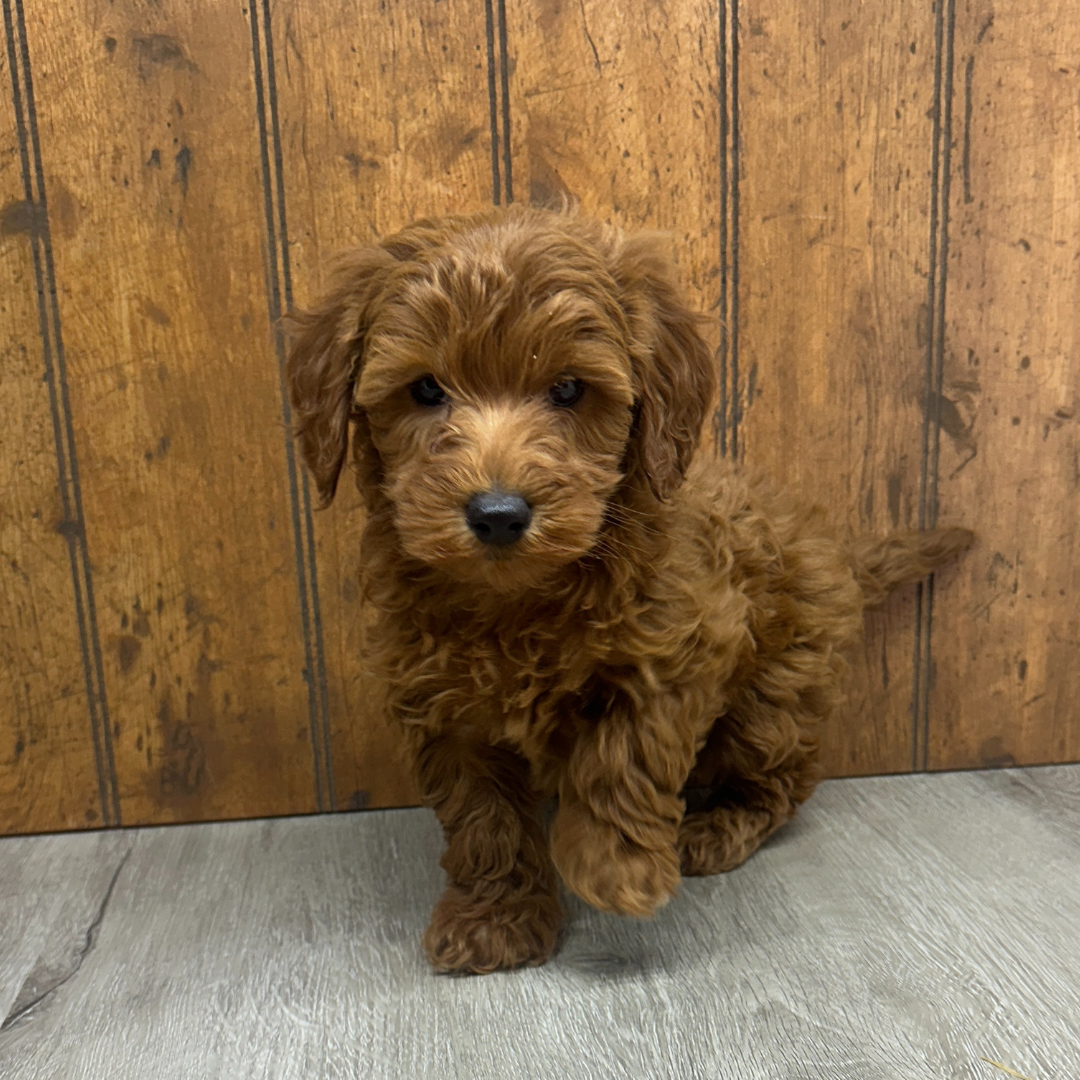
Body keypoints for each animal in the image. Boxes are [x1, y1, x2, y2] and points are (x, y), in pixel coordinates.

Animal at [285, 206, 972, 976]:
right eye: (426, 390)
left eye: (567, 389)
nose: (498, 513)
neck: (517, 601)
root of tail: (833, 549)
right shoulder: (441, 704)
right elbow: (483, 817)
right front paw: (495, 918)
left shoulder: (685, 647)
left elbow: (624, 755)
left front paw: (614, 868)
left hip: (773, 697)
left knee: (784, 779)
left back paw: (717, 827)